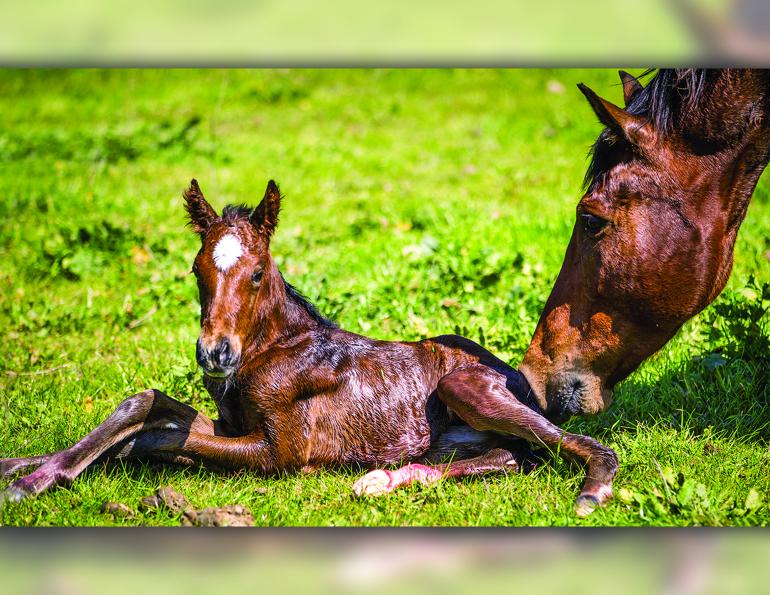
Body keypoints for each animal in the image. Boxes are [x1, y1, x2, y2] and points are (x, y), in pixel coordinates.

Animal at [1, 179, 619, 516]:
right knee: (506, 456)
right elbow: (147, 411)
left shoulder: (280, 453)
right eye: (197, 270)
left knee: (568, 446)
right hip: (458, 435)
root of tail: (520, 380)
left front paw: (34, 481)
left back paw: (594, 490)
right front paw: (22, 468)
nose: (214, 354)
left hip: (462, 383)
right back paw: (388, 478)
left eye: (256, 273)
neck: (270, 348)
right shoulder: (229, 424)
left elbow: (151, 431)